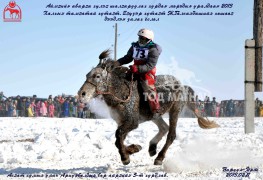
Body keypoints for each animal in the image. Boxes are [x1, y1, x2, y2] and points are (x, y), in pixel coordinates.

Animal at [79, 50, 221, 165]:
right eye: (86, 75)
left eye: (97, 76)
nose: (81, 94)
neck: (122, 92)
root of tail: (182, 86)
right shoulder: (121, 122)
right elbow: (118, 140)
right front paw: (134, 149)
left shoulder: (132, 122)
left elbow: (118, 137)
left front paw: (126, 157)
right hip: (155, 115)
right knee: (164, 128)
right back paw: (152, 147)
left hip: (175, 110)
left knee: (171, 134)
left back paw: (159, 157)